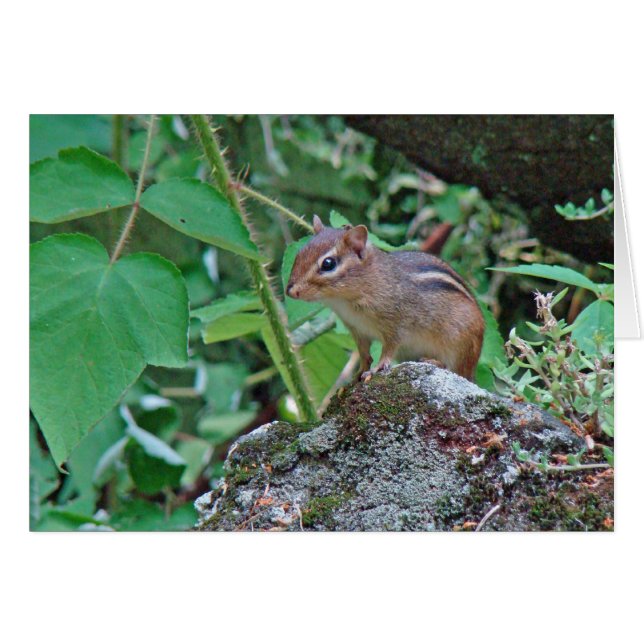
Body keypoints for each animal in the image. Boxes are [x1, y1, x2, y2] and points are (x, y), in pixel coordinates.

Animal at [286, 215, 485, 382]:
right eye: (299, 254)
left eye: (328, 264)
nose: (291, 291)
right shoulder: (358, 330)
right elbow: (364, 354)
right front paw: (357, 375)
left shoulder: (397, 324)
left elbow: (388, 349)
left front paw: (377, 368)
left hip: (459, 347)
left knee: (457, 371)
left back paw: (434, 361)